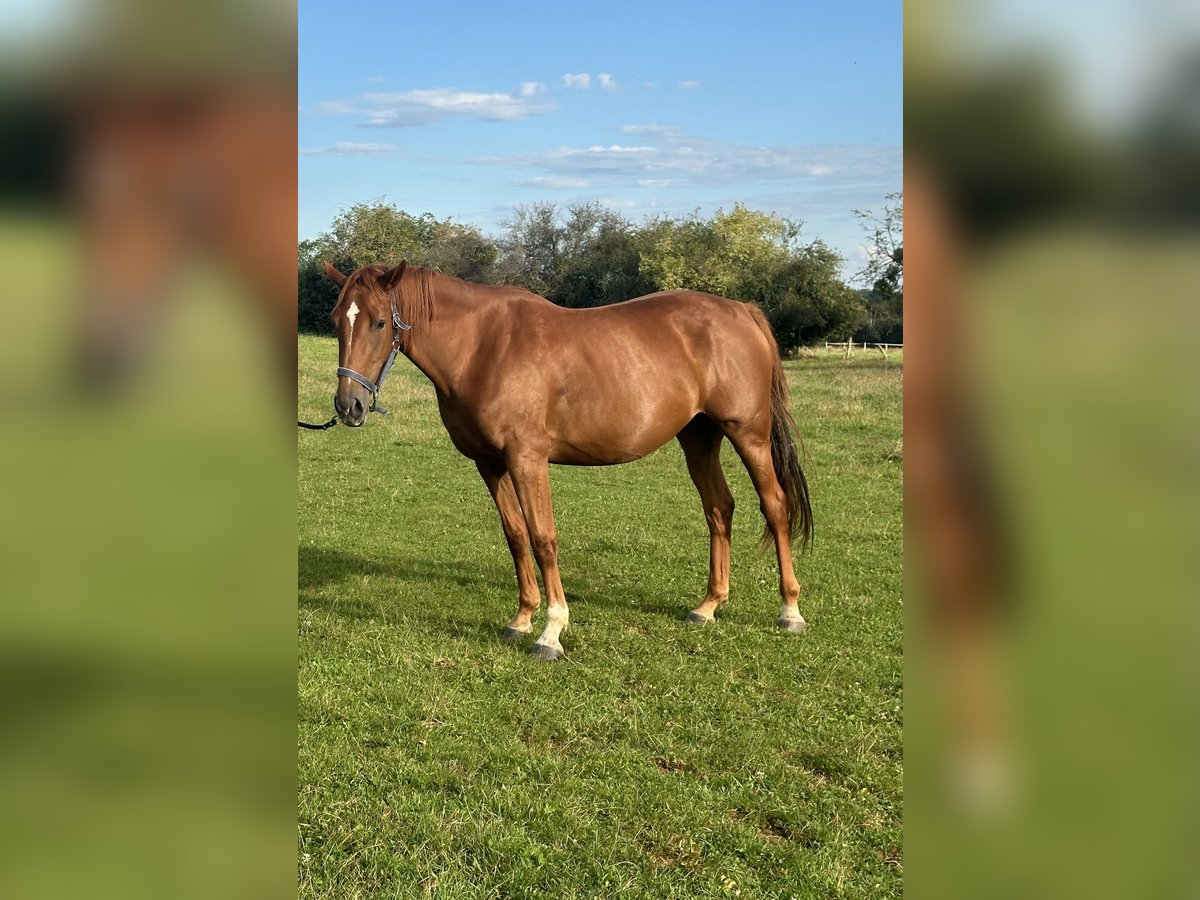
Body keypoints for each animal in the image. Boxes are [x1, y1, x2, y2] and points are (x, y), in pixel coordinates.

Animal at [321, 260, 816, 662]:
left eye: (379, 322)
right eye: (336, 321)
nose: (349, 406)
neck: (483, 347)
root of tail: (742, 311)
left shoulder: (528, 460)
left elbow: (543, 539)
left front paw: (551, 631)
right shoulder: (490, 463)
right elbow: (516, 536)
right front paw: (522, 619)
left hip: (748, 434)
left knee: (774, 506)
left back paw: (790, 610)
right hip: (698, 438)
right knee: (719, 508)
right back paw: (709, 605)